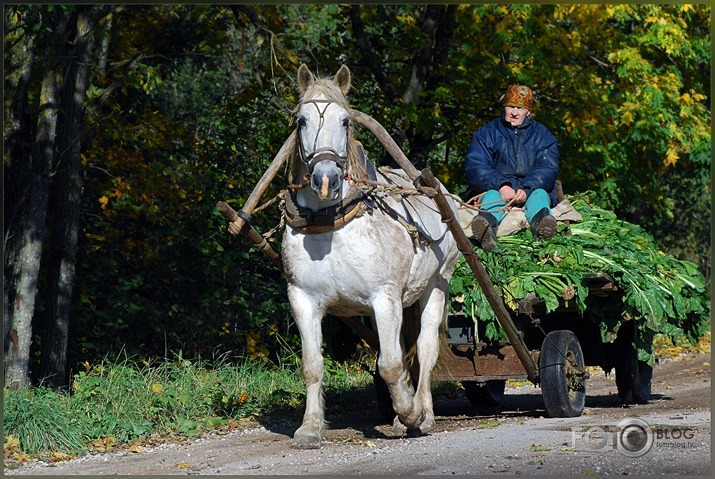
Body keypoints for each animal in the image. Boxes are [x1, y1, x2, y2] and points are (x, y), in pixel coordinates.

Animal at [282, 64, 458, 450]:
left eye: (346, 121)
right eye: (301, 120)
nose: (326, 179)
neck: (331, 225)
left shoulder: (385, 297)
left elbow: (390, 364)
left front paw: (411, 414)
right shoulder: (302, 299)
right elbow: (312, 365)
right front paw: (310, 428)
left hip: (436, 285)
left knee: (424, 350)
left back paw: (424, 414)